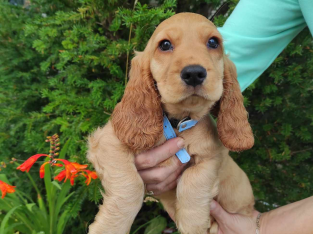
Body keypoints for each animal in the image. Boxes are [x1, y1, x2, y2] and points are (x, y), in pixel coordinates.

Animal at [86, 12, 255, 234]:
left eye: (213, 42)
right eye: (165, 45)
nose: (194, 73)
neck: (178, 123)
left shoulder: (212, 158)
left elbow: (193, 182)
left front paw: (194, 226)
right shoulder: (108, 142)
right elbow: (131, 185)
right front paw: (109, 227)